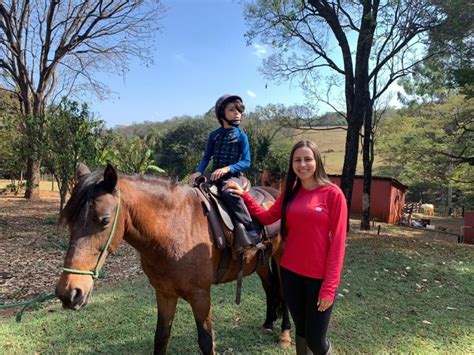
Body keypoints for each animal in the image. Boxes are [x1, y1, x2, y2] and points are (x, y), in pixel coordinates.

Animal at [53, 165, 290, 354]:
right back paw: (268, 322)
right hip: (259, 262)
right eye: (69, 220)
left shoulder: (200, 295)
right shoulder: (164, 293)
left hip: (280, 258)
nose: (69, 292)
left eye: (104, 220)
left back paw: (285, 334)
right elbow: (161, 337)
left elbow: (206, 341)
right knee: (270, 286)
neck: (174, 229)